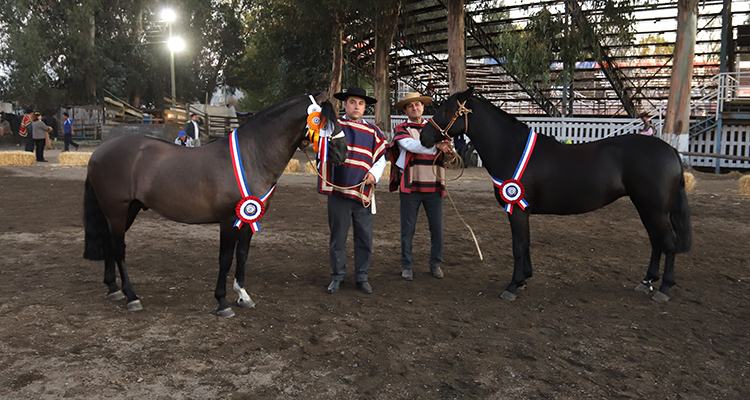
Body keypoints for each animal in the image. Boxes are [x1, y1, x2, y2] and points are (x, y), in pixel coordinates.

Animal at [83, 92, 348, 318]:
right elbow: (226, 259)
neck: (252, 156)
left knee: (110, 243)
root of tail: (98, 152)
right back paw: (131, 296)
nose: (343, 153)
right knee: (119, 248)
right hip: (117, 210)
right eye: (324, 122)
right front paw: (222, 303)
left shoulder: (249, 219)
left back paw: (113, 289)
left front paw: (243, 296)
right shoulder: (228, 220)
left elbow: (242, 255)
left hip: (126, 210)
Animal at [424, 89, 692, 302]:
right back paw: (647, 281)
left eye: (446, 110)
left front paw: (512, 285)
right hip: (646, 207)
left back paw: (664, 288)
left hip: (655, 209)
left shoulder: (517, 210)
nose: (425, 135)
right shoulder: (523, 210)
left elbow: (518, 246)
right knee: (656, 241)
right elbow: (526, 243)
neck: (512, 149)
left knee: (667, 242)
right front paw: (524, 279)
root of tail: (670, 149)